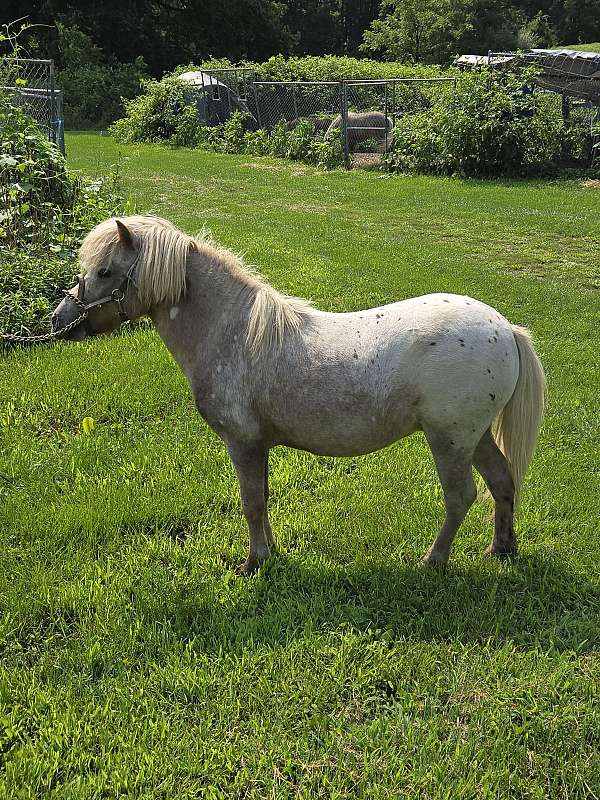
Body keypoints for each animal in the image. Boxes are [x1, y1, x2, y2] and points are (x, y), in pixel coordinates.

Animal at [51, 216, 546, 575]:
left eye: (105, 271)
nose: (60, 320)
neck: (233, 332)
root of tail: (505, 329)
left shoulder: (243, 443)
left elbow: (251, 501)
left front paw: (254, 563)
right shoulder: (258, 446)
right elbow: (264, 498)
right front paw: (269, 553)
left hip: (450, 440)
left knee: (461, 497)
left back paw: (433, 561)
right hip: (475, 438)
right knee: (502, 482)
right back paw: (501, 550)